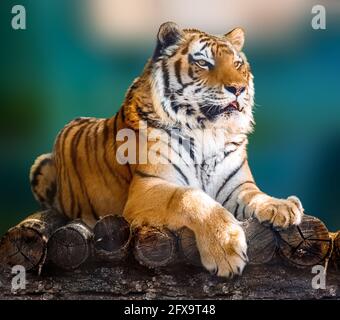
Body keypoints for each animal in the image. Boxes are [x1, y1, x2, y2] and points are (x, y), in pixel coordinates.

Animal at [29, 22, 302, 278]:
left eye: (237, 64)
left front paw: (282, 207)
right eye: (203, 63)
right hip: (41, 165)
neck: (208, 132)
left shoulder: (237, 187)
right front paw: (225, 249)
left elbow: (256, 195)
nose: (238, 88)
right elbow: (188, 197)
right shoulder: (146, 188)